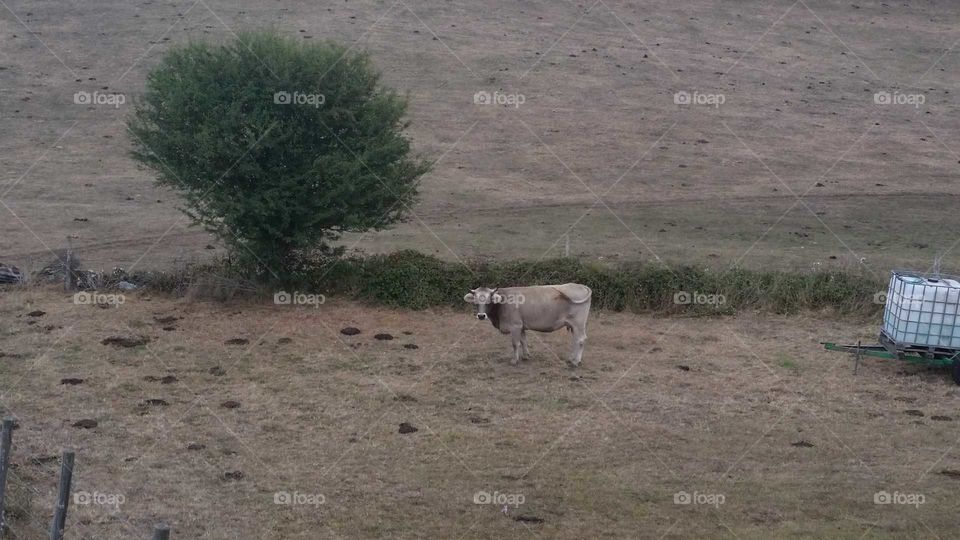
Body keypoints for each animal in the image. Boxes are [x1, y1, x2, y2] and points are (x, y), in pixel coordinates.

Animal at [463, 283, 592, 366]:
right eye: (476, 301)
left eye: (488, 300)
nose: (481, 316)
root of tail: (580, 285)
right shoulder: (521, 326)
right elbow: (523, 341)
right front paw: (526, 356)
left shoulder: (515, 326)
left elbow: (515, 344)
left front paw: (514, 361)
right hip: (574, 325)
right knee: (575, 340)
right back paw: (571, 358)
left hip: (578, 323)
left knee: (580, 339)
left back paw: (575, 362)